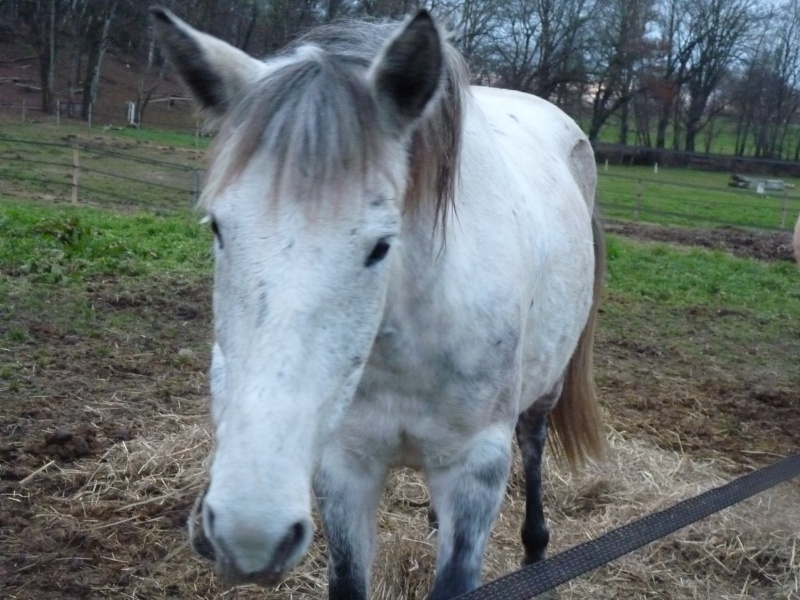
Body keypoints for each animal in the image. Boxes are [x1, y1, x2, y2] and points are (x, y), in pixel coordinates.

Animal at [152, 9, 608, 600]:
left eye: (380, 246)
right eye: (217, 228)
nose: (250, 531)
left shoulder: (476, 468)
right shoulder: (346, 465)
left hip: (544, 388)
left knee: (533, 442)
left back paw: (536, 549)